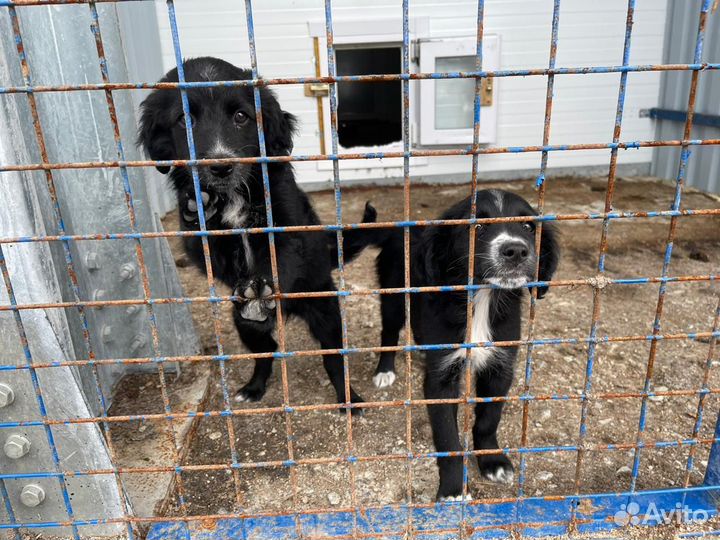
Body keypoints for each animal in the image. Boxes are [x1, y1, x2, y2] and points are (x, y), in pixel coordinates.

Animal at [136, 58, 374, 410]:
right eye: (184, 120)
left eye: (241, 117)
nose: (220, 167)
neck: (234, 195)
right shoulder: (199, 246)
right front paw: (200, 206)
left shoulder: (289, 227)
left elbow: (282, 256)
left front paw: (261, 286)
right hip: (243, 327)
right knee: (267, 349)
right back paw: (253, 383)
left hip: (326, 311)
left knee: (333, 358)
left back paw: (349, 399)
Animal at [366, 191, 556, 502]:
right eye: (476, 227)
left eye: (528, 227)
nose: (516, 250)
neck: (482, 298)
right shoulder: (440, 382)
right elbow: (447, 437)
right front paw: (453, 489)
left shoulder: (500, 367)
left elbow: (489, 419)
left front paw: (492, 461)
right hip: (393, 297)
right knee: (389, 332)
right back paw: (384, 370)